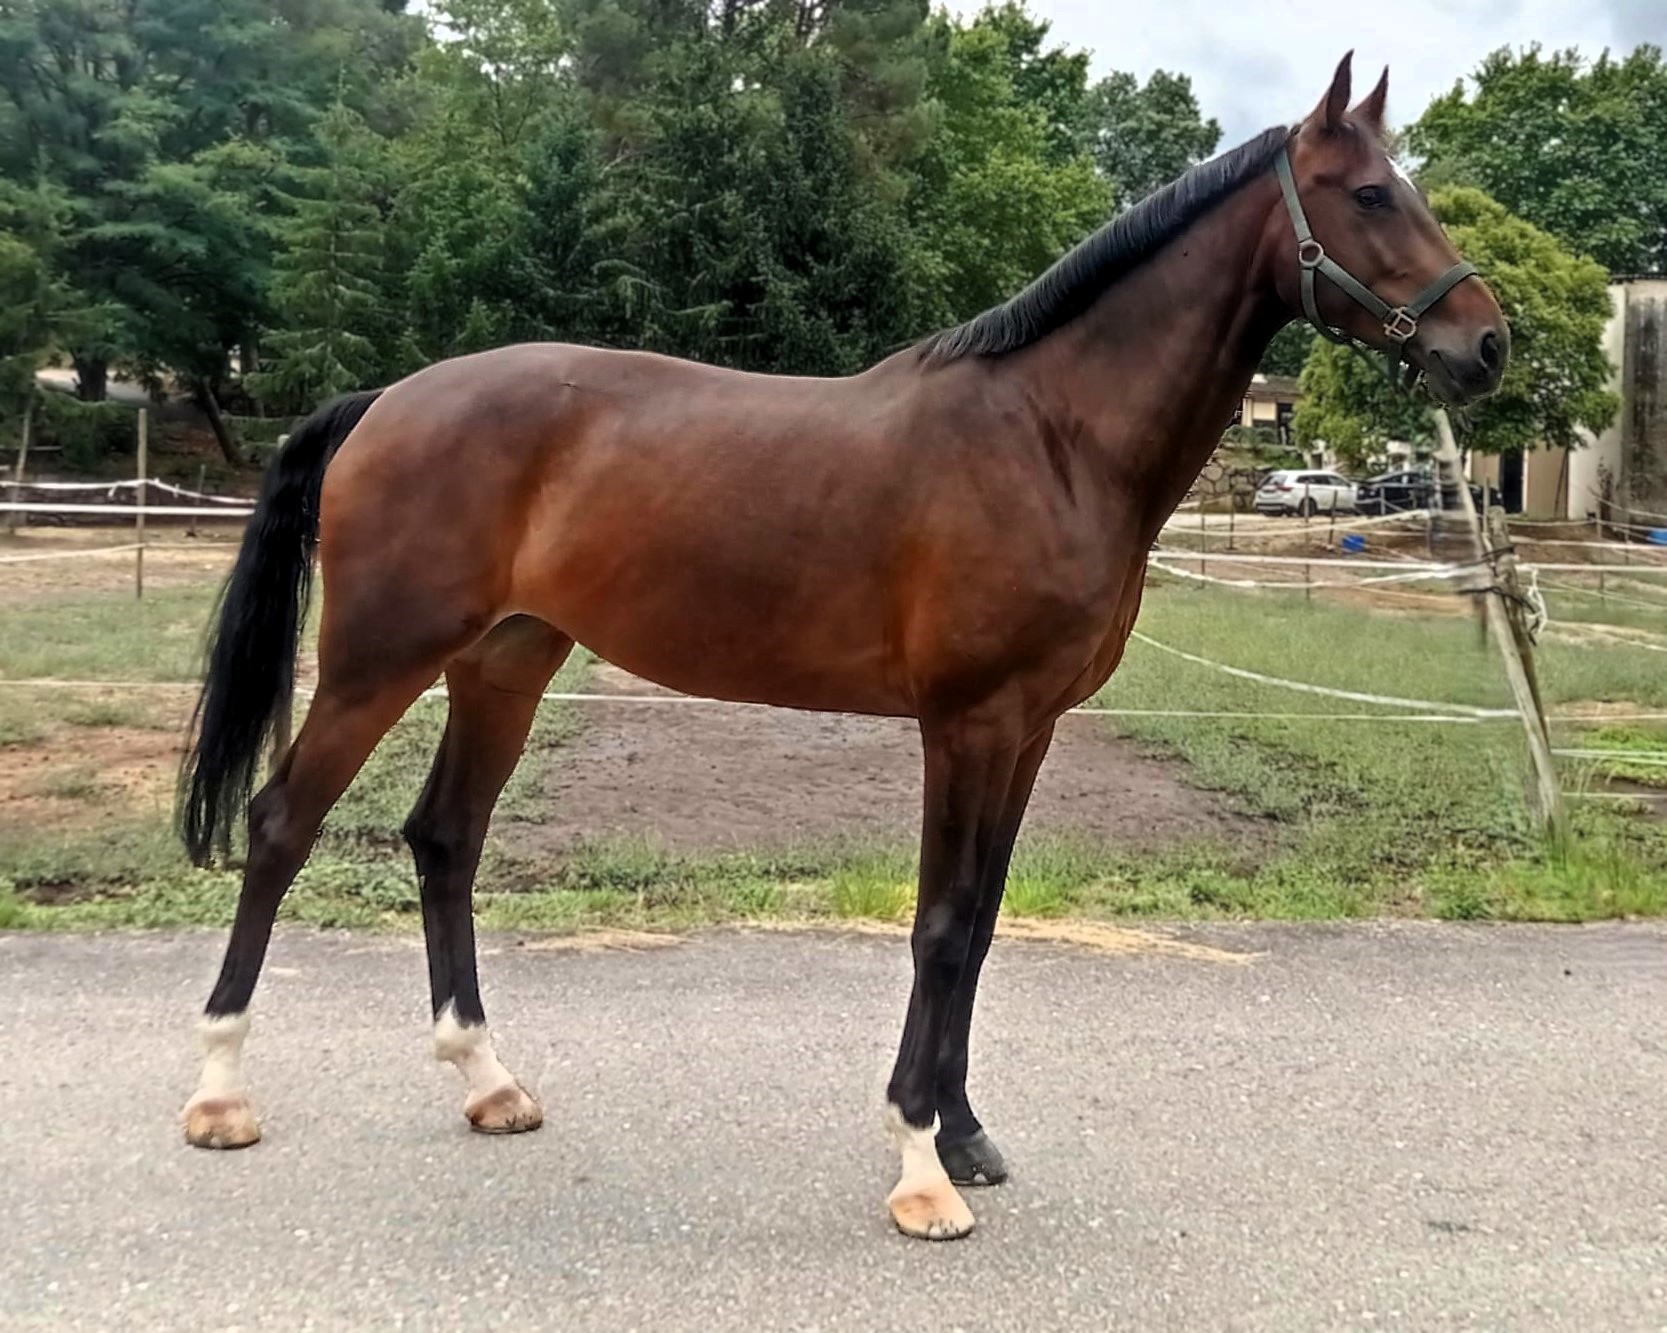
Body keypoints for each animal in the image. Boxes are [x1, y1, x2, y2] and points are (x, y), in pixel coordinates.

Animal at [176, 54, 1506, 1241]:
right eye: (1370, 194)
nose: (1485, 345)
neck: (1051, 437)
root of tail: (386, 400)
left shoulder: (1029, 730)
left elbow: (979, 925)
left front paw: (963, 1137)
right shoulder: (966, 723)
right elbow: (936, 925)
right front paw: (919, 1168)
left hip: (505, 662)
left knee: (445, 836)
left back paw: (488, 1082)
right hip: (375, 663)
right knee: (280, 824)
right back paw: (220, 1093)